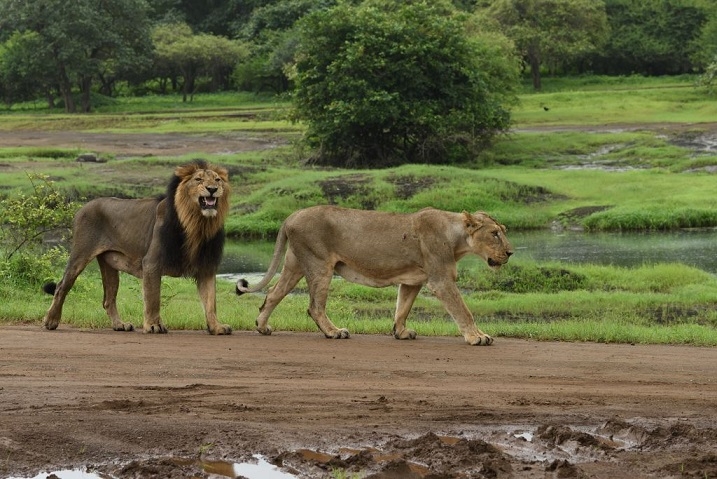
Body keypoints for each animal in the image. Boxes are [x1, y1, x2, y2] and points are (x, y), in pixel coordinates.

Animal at [43, 159, 233, 335]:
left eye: (217, 180)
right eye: (198, 179)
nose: (212, 189)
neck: (198, 224)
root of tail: (84, 206)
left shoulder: (206, 266)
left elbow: (210, 301)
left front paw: (216, 327)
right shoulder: (151, 263)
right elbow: (153, 298)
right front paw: (154, 325)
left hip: (109, 263)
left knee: (108, 299)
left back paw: (119, 325)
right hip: (80, 254)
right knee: (61, 287)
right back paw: (51, 320)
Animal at [236, 205, 513, 345]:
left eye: (503, 231)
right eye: (495, 234)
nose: (510, 252)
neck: (456, 237)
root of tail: (290, 216)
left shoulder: (412, 281)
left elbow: (402, 308)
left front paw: (400, 332)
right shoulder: (441, 280)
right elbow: (463, 310)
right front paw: (477, 337)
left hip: (295, 264)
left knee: (273, 293)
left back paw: (262, 326)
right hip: (319, 264)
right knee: (314, 306)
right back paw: (334, 332)